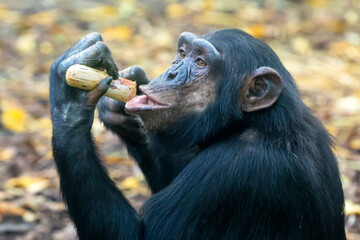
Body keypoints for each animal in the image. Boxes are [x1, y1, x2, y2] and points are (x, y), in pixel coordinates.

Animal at [48, 29, 346, 239]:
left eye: (200, 62)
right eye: (182, 53)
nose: (171, 72)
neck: (251, 122)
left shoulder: (231, 171)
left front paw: (69, 102)